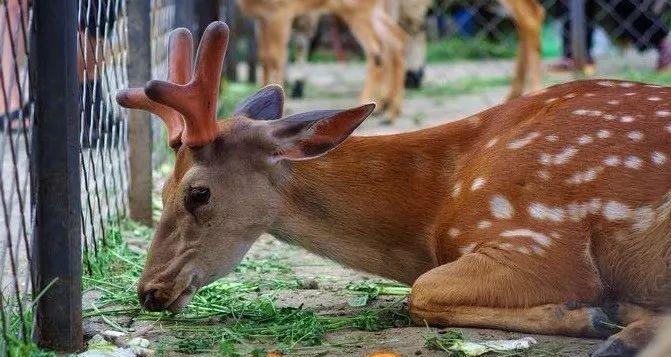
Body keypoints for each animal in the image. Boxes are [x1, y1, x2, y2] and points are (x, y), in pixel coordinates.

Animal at [118, 23, 671, 356]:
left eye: (198, 193)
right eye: (163, 187)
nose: (149, 291)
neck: (437, 203)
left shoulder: (538, 238)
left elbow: (420, 292)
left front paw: (588, 314)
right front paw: (609, 317)